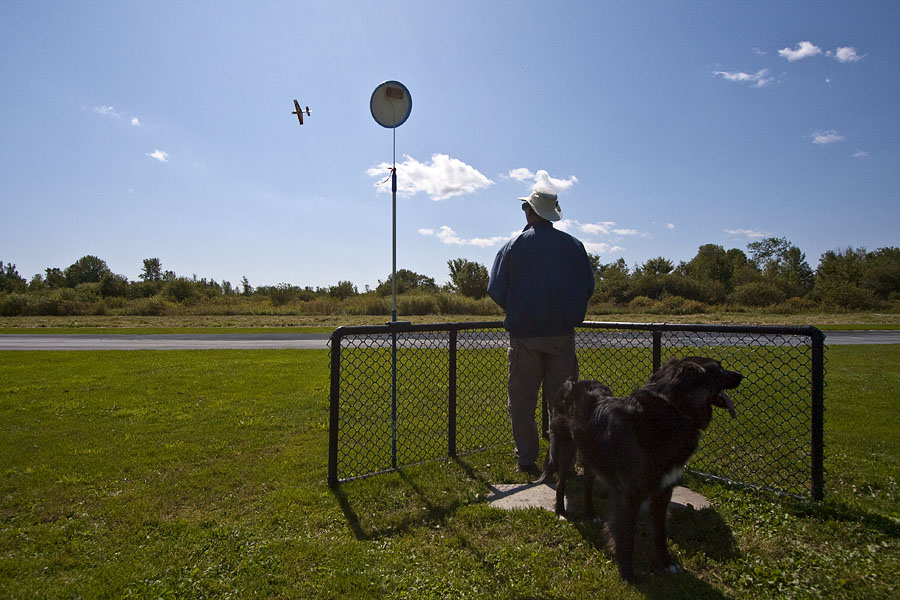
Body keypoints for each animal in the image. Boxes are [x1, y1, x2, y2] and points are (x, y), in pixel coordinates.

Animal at [536, 356, 740, 580]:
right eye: (718, 369)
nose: (740, 375)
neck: (670, 409)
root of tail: (572, 381)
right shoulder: (629, 494)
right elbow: (627, 535)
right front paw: (627, 573)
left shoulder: (663, 490)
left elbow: (659, 532)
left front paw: (666, 563)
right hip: (565, 449)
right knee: (561, 481)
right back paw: (561, 511)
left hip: (593, 455)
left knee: (588, 484)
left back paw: (591, 514)